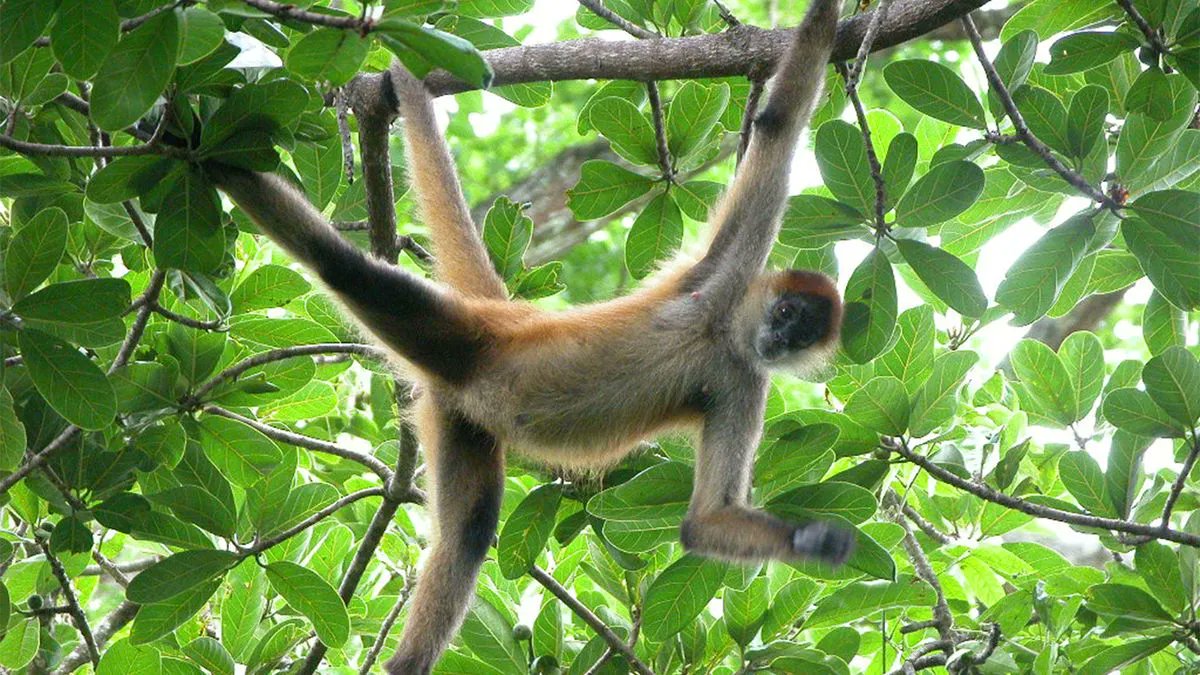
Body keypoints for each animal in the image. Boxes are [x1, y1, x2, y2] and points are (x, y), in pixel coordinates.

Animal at [205, 0, 845, 671]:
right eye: (786, 313)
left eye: (803, 334)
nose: (781, 339)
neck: (723, 335)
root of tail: (506, 316)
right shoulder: (723, 275)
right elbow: (778, 124)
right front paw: (827, 21)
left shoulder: (746, 382)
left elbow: (705, 521)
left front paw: (814, 540)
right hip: (465, 342)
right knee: (341, 267)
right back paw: (199, 151)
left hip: (459, 413)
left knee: (467, 535)